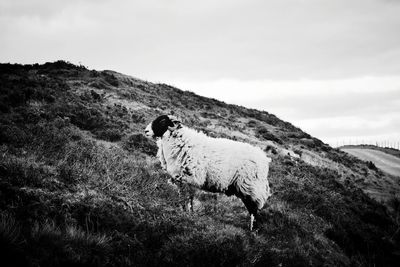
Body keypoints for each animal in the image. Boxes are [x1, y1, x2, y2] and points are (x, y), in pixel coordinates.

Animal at [145, 114, 274, 230]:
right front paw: (182, 211)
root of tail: (264, 159)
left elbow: (188, 198)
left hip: (250, 186)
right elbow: (182, 197)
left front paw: (188, 213)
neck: (180, 141)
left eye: (162, 121)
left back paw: (252, 229)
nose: (146, 131)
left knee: (253, 209)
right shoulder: (181, 180)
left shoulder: (190, 178)